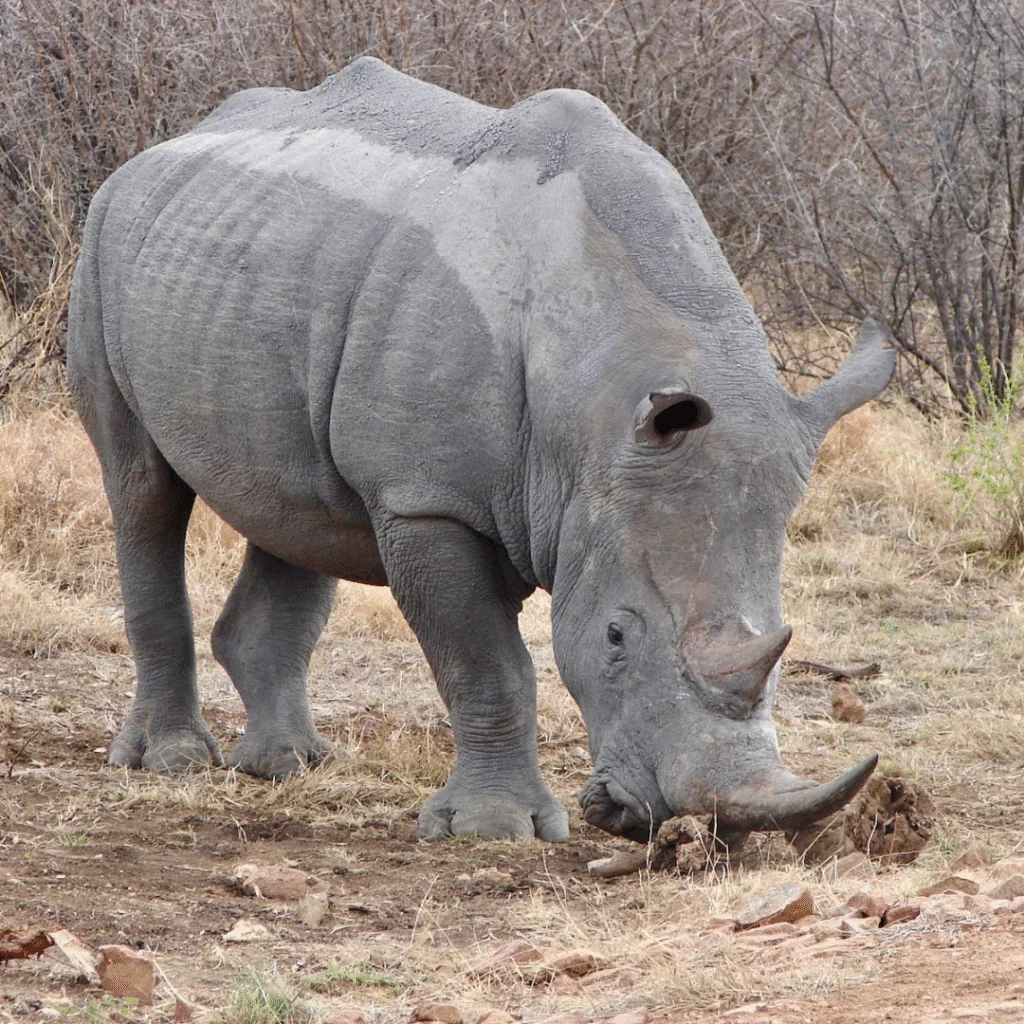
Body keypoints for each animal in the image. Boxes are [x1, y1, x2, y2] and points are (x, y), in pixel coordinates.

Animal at [67, 57, 893, 844]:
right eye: (616, 636)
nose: (677, 818)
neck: (593, 408)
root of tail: (161, 146)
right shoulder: (427, 501)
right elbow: (488, 664)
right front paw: (494, 829)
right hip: (103, 242)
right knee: (141, 489)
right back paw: (172, 760)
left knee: (296, 514)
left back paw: (289, 766)